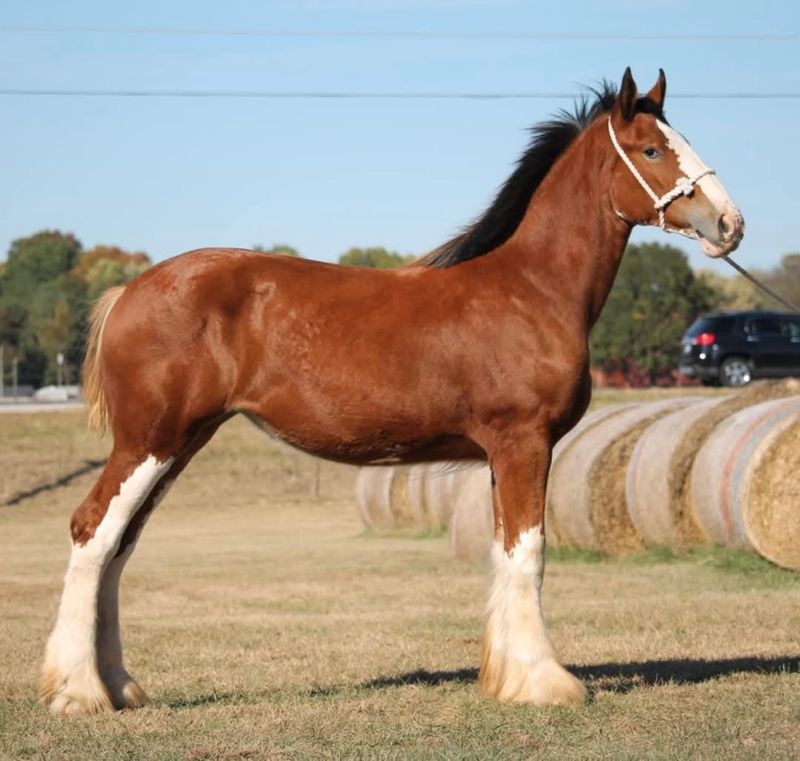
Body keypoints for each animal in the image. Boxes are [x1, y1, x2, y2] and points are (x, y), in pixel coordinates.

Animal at [42, 67, 744, 712]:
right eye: (651, 150)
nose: (730, 223)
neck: (531, 288)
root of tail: (128, 290)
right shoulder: (525, 441)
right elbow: (529, 554)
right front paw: (546, 683)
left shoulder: (502, 455)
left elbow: (502, 554)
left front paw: (506, 679)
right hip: (150, 442)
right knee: (93, 532)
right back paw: (79, 691)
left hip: (177, 445)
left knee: (119, 546)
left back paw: (119, 685)